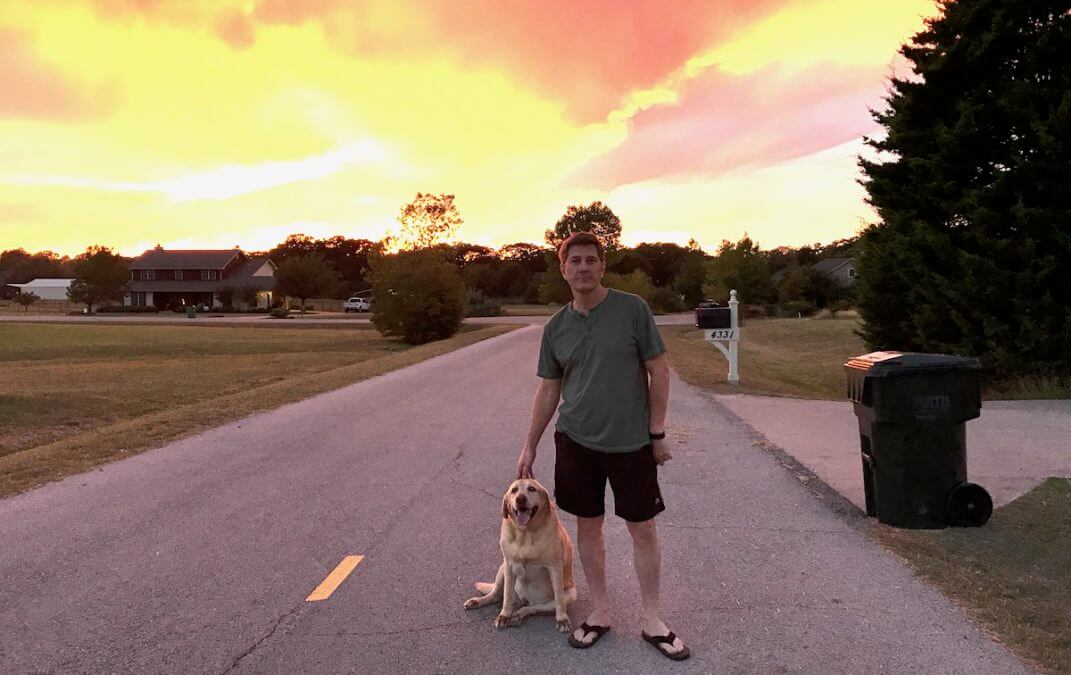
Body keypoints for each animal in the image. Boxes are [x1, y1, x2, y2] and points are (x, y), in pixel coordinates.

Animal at [462, 477, 574, 634]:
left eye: (532, 489)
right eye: (514, 490)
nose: (520, 499)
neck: (524, 533)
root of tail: (525, 599)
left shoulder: (555, 567)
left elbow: (559, 598)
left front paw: (562, 619)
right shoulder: (509, 565)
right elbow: (507, 595)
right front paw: (504, 615)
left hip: (570, 593)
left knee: (531, 608)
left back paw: (518, 615)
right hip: (502, 569)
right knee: (496, 594)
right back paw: (479, 601)